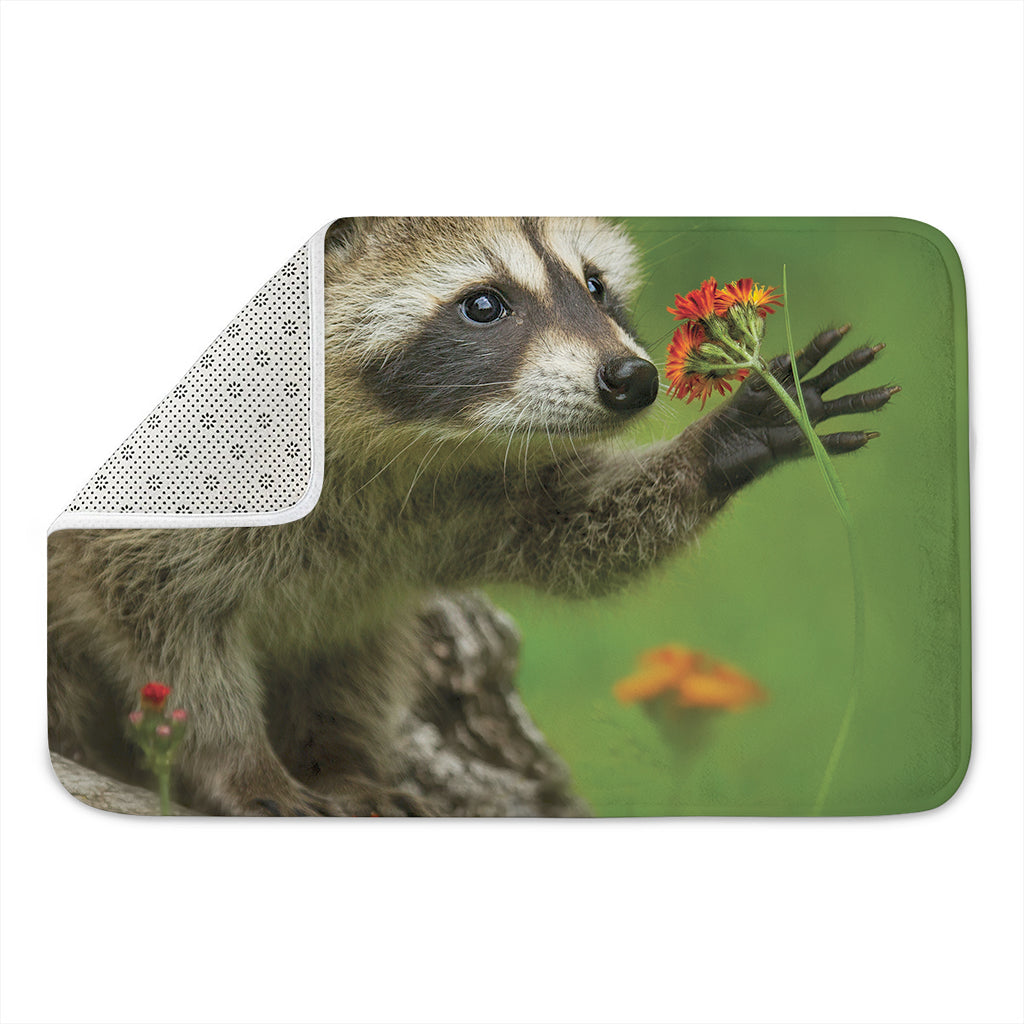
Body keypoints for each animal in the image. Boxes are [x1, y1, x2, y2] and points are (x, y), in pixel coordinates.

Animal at [47, 217, 896, 815]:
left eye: (594, 286)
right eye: (483, 304)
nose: (633, 379)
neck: (390, 449)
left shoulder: (463, 494)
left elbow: (571, 531)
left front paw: (720, 442)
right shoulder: (169, 505)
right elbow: (167, 632)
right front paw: (237, 759)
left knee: (359, 649)